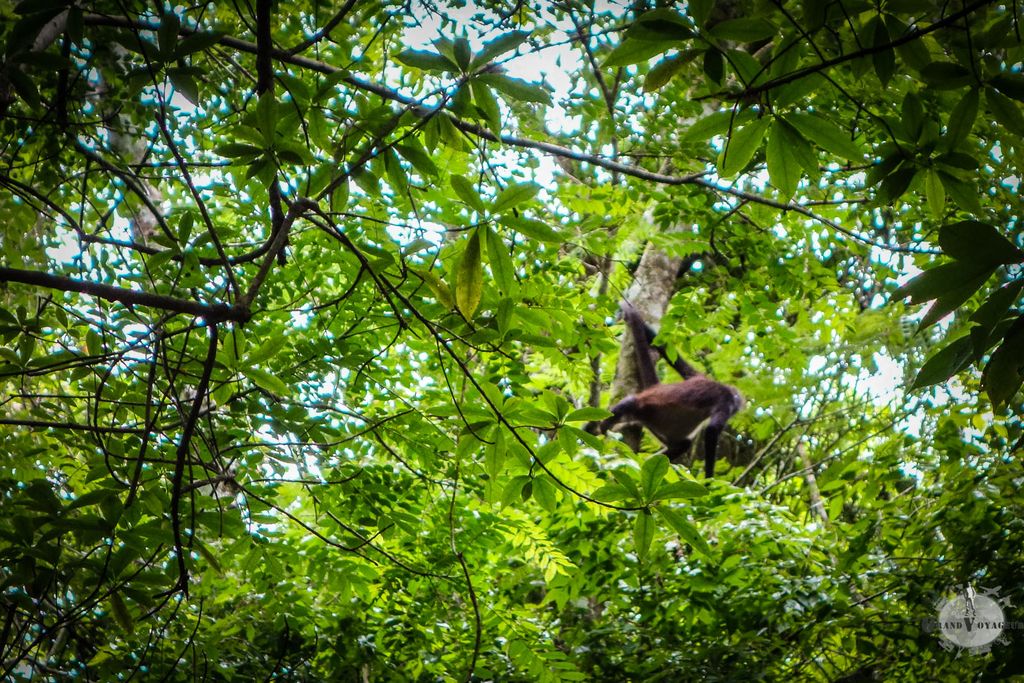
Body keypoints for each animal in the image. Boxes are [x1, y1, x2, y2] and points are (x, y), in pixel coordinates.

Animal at [595, 302, 743, 478]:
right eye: (735, 408)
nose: (737, 410)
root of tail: (655, 388)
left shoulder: (698, 376)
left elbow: (670, 354)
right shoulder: (725, 399)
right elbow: (712, 430)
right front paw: (709, 480)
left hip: (655, 424)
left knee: (683, 445)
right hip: (643, 406)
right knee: (630, 402)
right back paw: (602, 427)